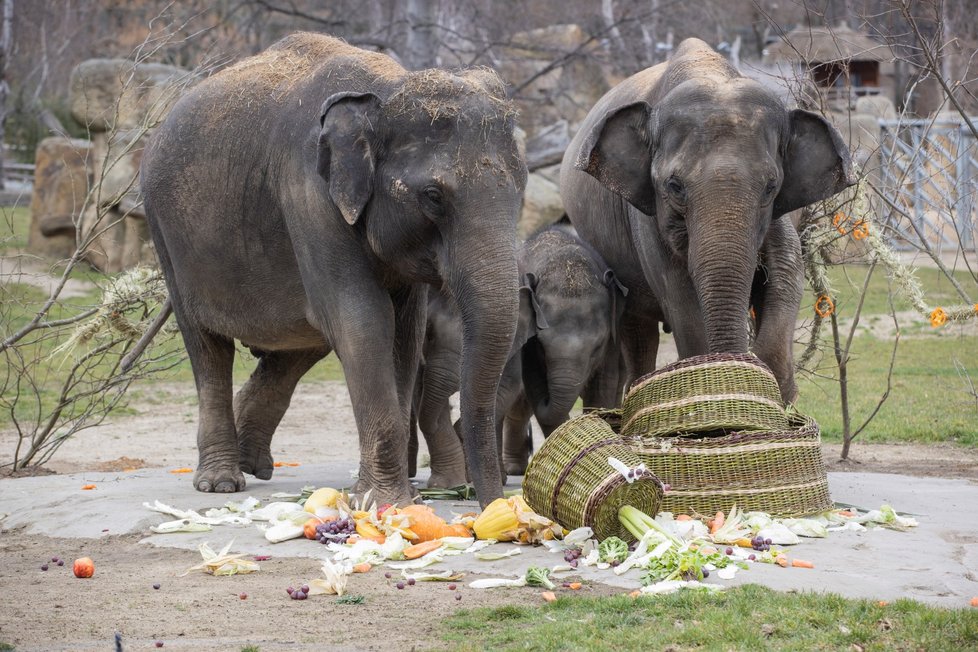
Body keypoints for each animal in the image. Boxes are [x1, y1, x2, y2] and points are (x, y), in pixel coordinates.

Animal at [139, 33, 528, 506]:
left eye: (522, 187)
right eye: (433, 196)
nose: (495, 506)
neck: (387, 88)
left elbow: (403, 331)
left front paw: (392, 499)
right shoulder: (308, 193)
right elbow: (363, 320)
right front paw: (387, 502)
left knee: (300, 339)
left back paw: (252, 463)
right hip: (166, 233)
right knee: (207, 345)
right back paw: (220, 482)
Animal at [556, 39, 856, 402]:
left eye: (771, 186)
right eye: (674, 186)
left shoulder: (779, 215)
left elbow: (787, 275)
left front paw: (775, 386)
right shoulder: (646, 218)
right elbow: (681, 299)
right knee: (638, 332)